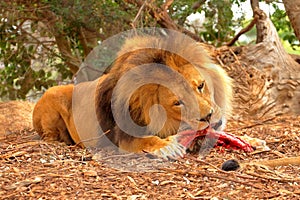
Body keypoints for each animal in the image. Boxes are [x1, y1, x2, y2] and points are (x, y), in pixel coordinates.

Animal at [34, 33, 233, 159]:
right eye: (178, 103)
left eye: (200, 86)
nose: (209, 116)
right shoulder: (122, 138)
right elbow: (147, 139)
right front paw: (167, 146)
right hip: (52, 94)